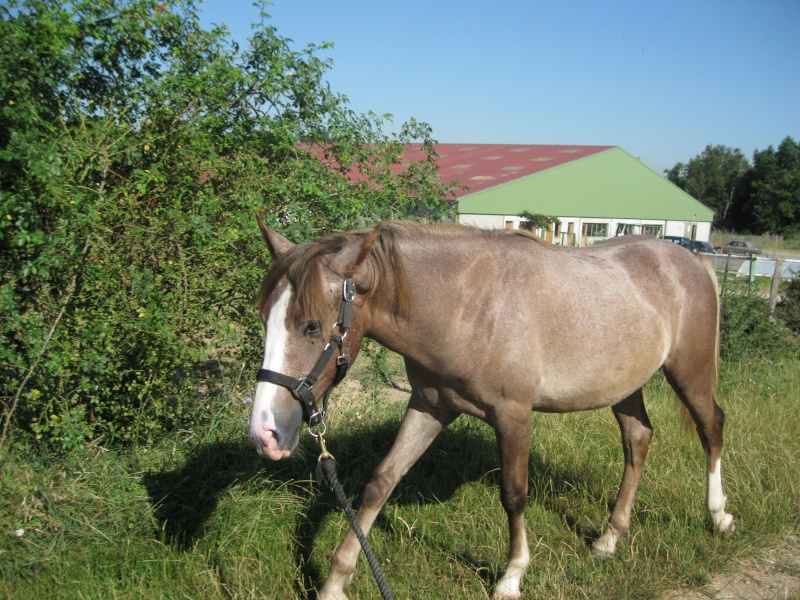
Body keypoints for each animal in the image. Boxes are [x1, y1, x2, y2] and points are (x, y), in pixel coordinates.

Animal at [247, 219, 736, 600]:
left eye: (312, 326)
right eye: (266, 318)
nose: (264, 433)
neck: (468, 307)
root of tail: (692, 262)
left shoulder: (513, 416)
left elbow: (514, 494)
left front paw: (512, 576)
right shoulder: (429, 407)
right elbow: (380, 483)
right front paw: (335, 581)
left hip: (688, 373)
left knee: (712, 428)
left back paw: (718, 515)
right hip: (625, 386)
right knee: (638, 439)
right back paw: (610, 538)